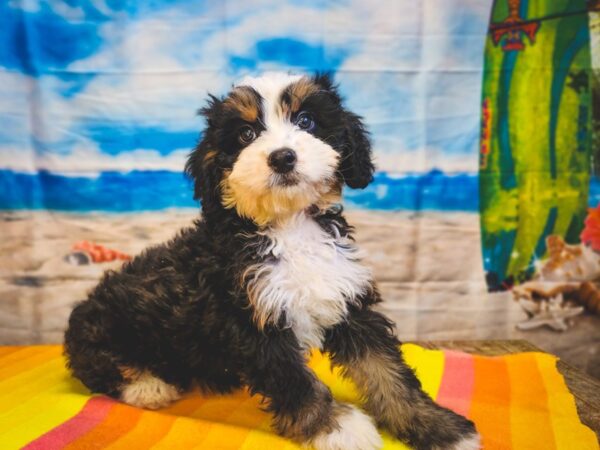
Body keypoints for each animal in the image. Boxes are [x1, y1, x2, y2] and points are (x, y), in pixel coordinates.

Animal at [64, 72, 478, 448]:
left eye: (306, 121)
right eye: (247, 134)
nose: (282, 157)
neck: (288, 225)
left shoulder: (348, 302)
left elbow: (387, 372)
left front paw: (438, 426)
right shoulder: (249, 320)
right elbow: (296, 380)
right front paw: (337, 428)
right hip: (101, 330)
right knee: (97, 368)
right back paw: (146, 386)